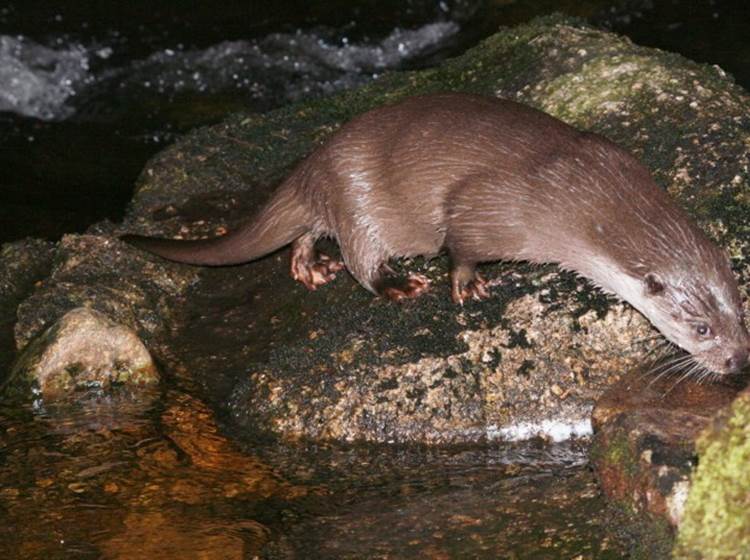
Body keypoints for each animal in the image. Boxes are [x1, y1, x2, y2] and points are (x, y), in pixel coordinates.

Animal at [125, 93, 750, 376]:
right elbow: (460, 241)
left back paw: (311, 267)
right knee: (358, 252)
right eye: (699, 328)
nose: (738, 362)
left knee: (305, 233)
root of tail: (311, 164)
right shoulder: (493, 207)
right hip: (357, 196)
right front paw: (466, 283)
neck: (581, 192)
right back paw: (393, 283)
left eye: (741, 314)